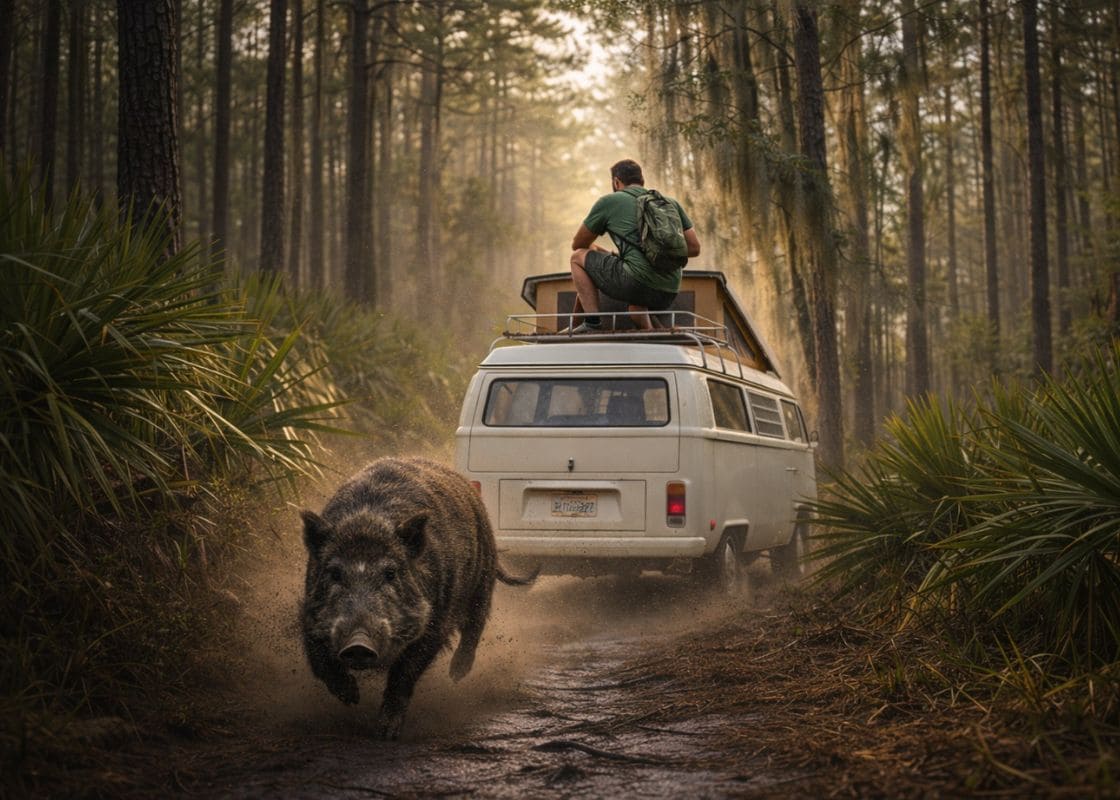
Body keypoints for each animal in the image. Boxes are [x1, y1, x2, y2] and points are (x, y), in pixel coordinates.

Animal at [299, 456, 535, 739]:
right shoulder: (309, 611)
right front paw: (351, 698)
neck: (368, 523)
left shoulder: (435, 621)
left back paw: (457, 674)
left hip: (483, 578)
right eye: (334, 573)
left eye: (390, 573)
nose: (358, 643)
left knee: (475, 624)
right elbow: (318, 659)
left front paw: (386, 733)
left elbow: (405, 672)